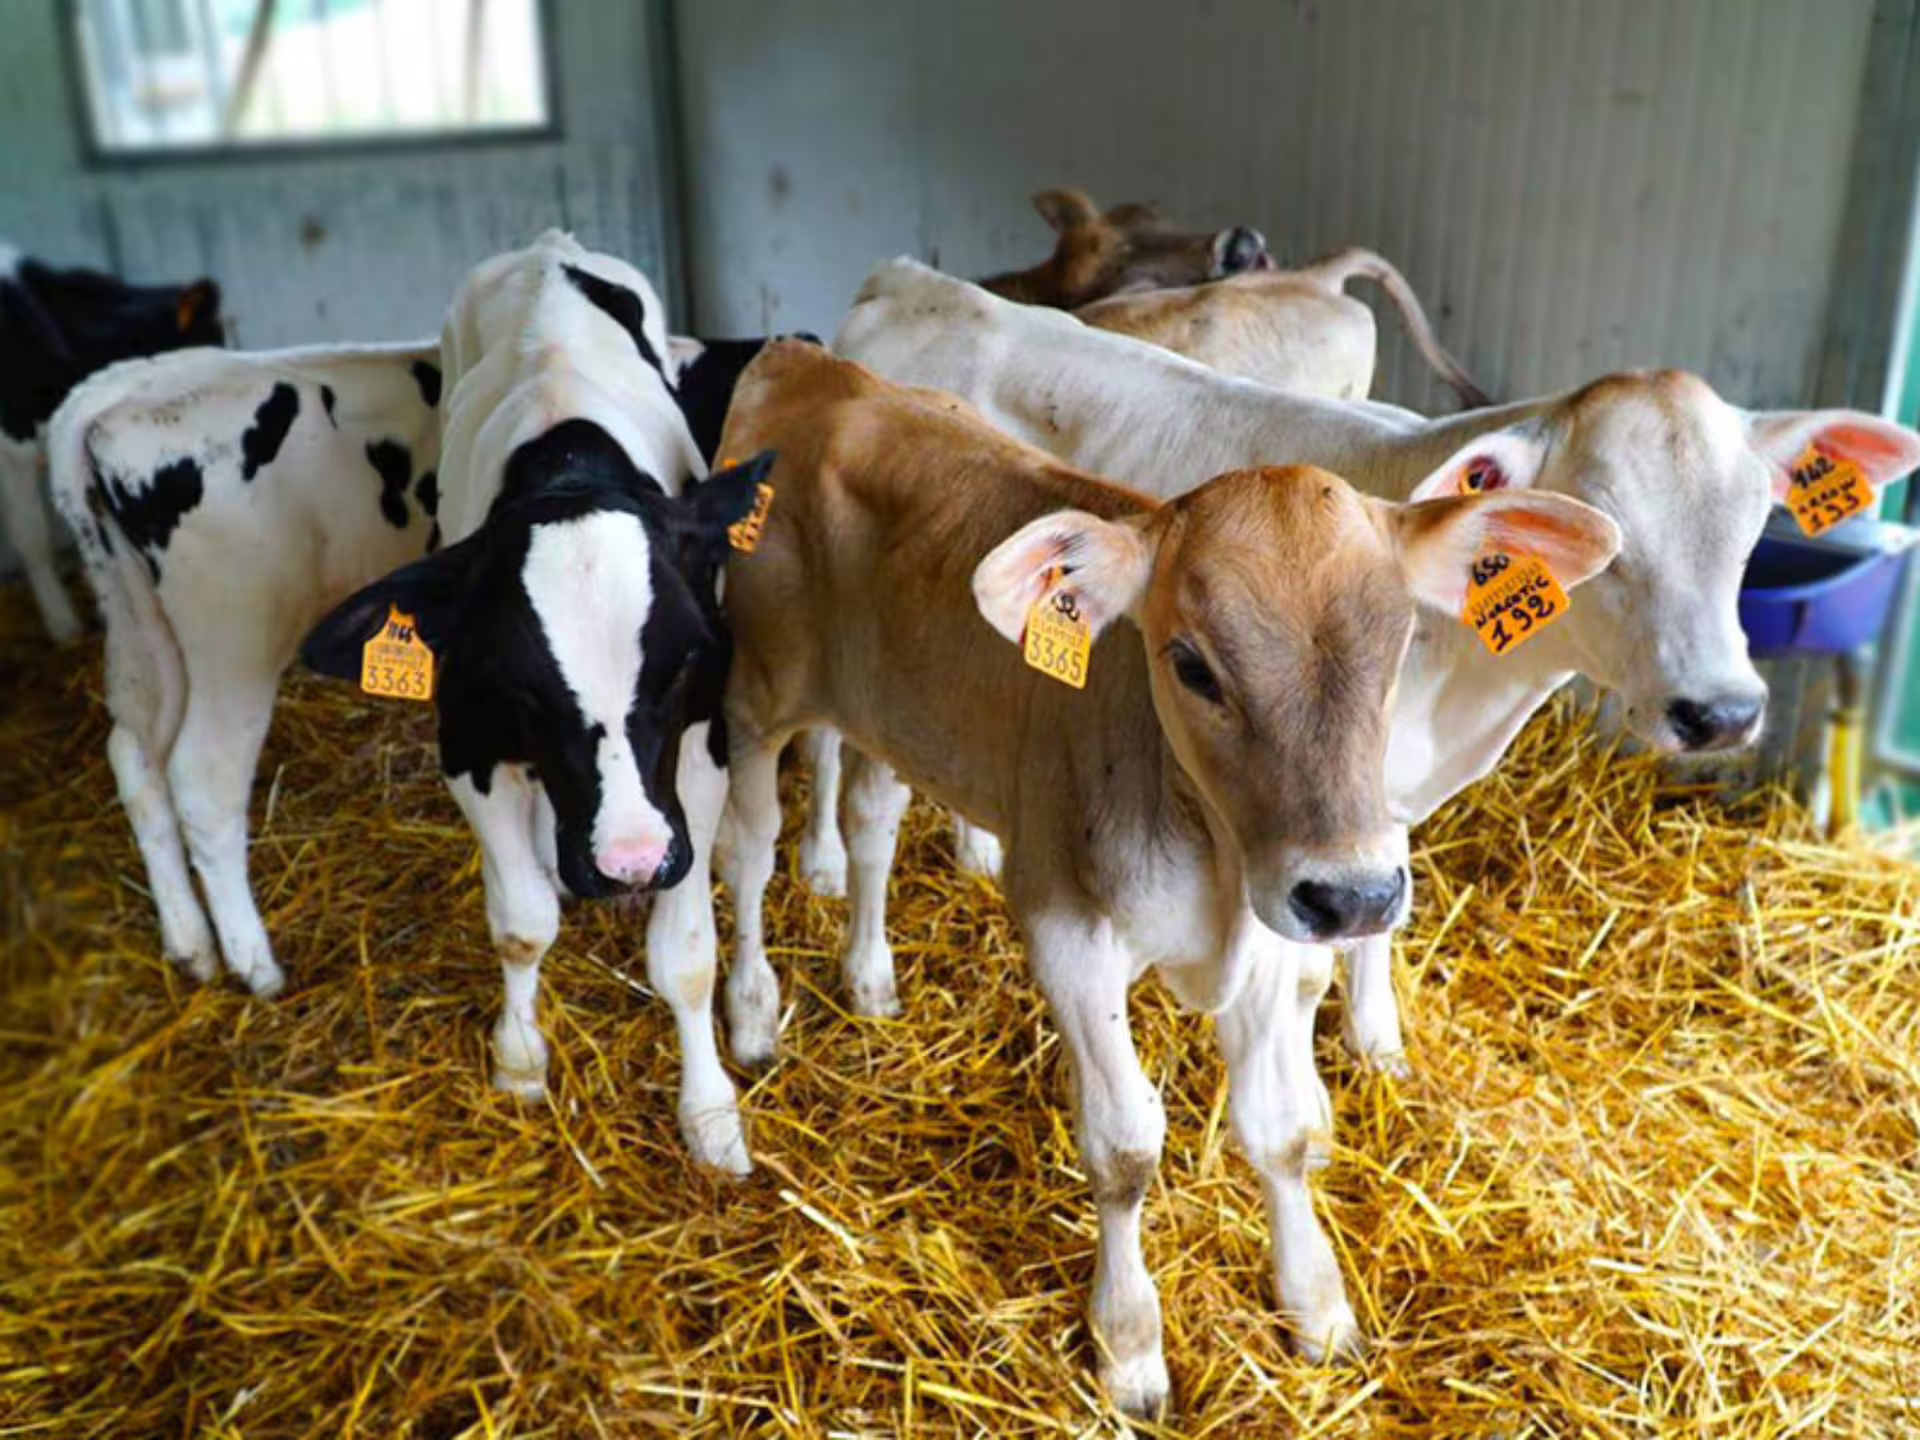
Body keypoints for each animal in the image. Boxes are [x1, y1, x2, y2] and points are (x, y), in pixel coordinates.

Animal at [298, 233, 770, 1175]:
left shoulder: (700, 753)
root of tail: (554, 246)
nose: (629, 861)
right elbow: (521, 923)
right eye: (522, 688)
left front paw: (708, 1113)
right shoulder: (468, 745)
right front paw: (518, 1058)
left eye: (680, 664)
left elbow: (685, 956)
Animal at [712, 339, 1620, 1416]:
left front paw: (1316, 1305)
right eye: (1190, 663)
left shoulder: (1274, 936)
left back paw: (872, 979)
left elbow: (1277, 1130)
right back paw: (753, 1016)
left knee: (870, 821)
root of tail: (811, 366)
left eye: (1400, 644)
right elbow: (1124, 1146)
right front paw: (1132, 1349)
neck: (1213, 857)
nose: (1354, 897)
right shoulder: (1066, 928)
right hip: (756, 693)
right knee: (749, 847)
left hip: (893, 714)